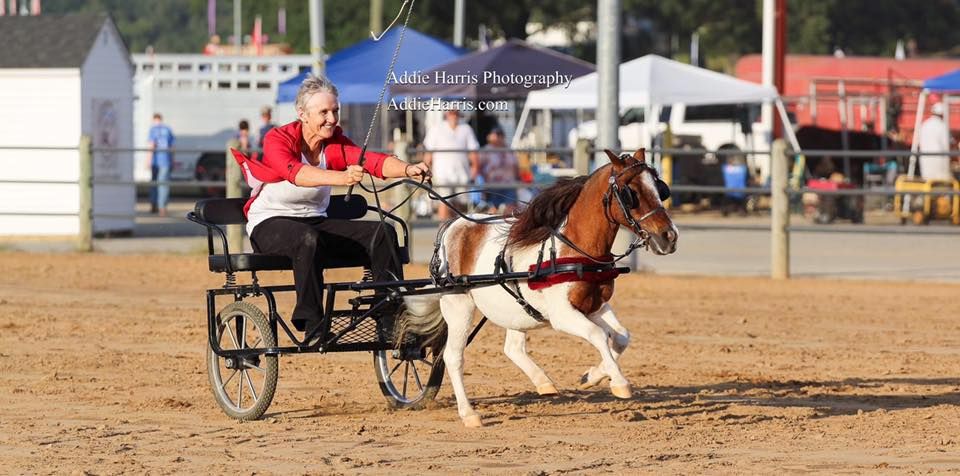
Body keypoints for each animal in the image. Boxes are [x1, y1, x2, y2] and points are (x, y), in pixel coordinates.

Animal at [402, 149, 680, 428]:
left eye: (659, 188)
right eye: (629, 192)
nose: (669, 236)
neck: (575, 250)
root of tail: (452, 226)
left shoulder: (594, 306)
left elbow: (621, 336)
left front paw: (592, 376)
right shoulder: (562, 315)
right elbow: (598, 335)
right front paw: (620, 383)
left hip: (513, 310)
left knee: (512, 348)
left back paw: (544, 383)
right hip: (458, 305)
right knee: (452, 356)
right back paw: (469, 413)